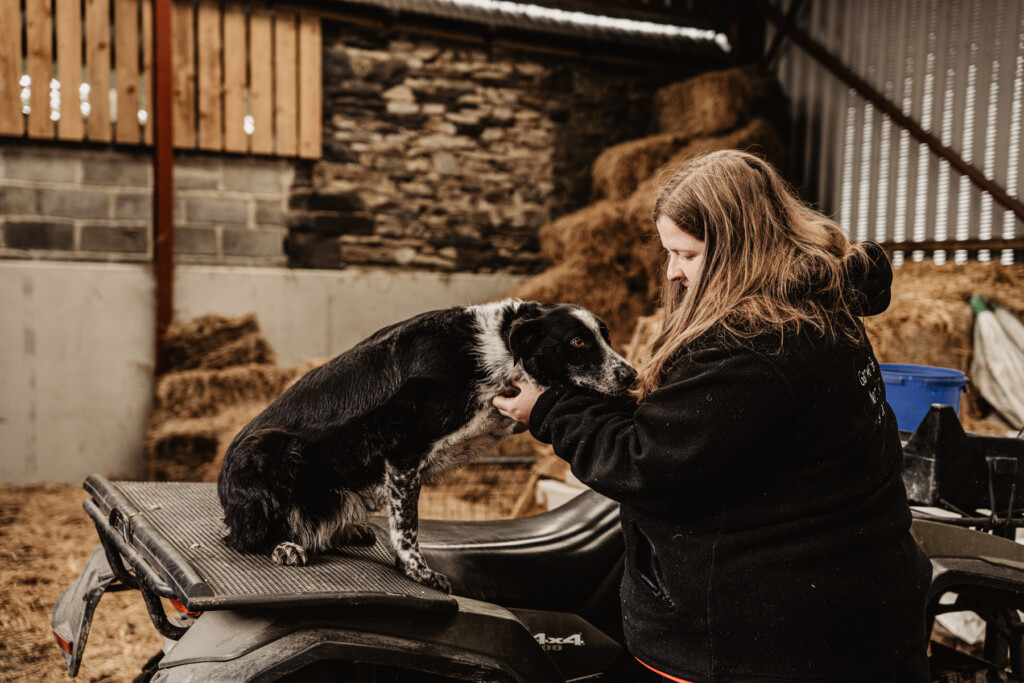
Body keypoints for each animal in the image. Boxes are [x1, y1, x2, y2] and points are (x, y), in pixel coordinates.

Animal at [218, 299, 630, 593]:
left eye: (607, 338)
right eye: (578, 342)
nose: (632, 375)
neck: (493, 351)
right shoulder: (403, 455)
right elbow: (407, 528)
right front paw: (417, 572)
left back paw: (343, 530)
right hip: (265, 449)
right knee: (243, 539)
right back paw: (285, 545)